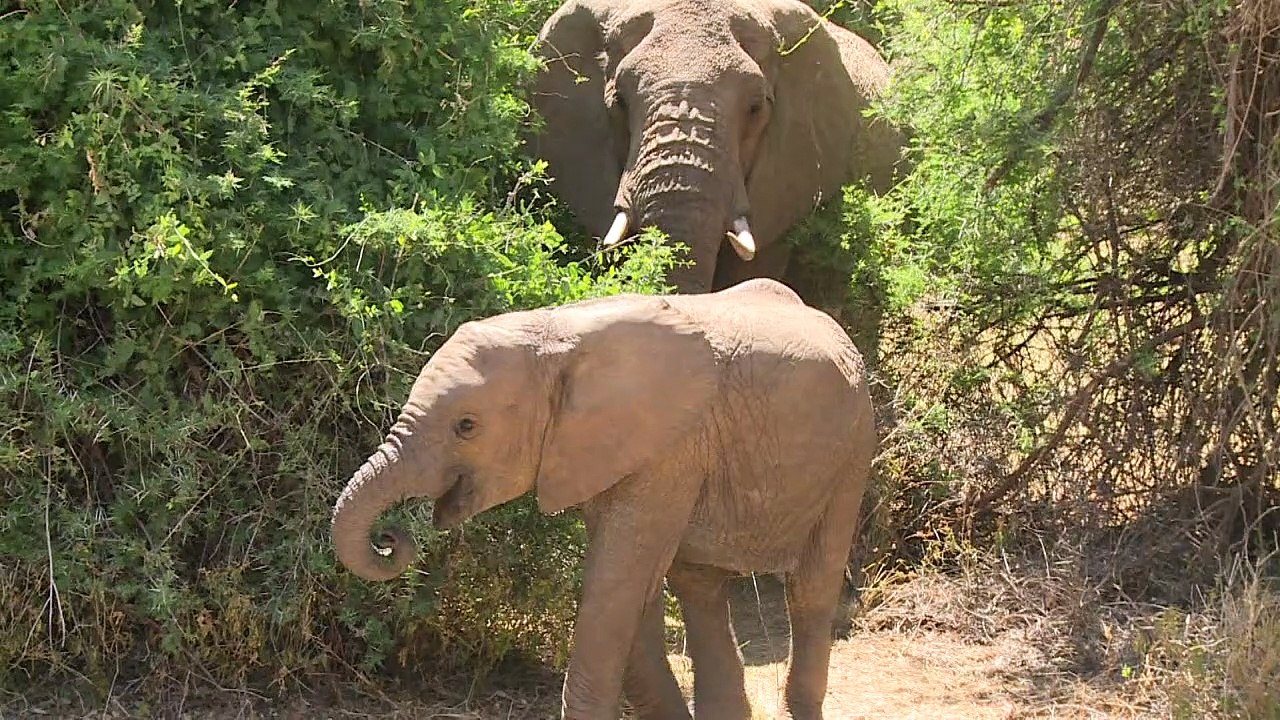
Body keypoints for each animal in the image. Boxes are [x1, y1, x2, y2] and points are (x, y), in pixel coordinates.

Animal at [331, 278, 876, 719]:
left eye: (466, 426)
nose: (390, 537)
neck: (555, 334)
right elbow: (633, 592)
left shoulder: (669, 449)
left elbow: (616, 586)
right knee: (699, 588)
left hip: (852, 449)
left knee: (809, 589)